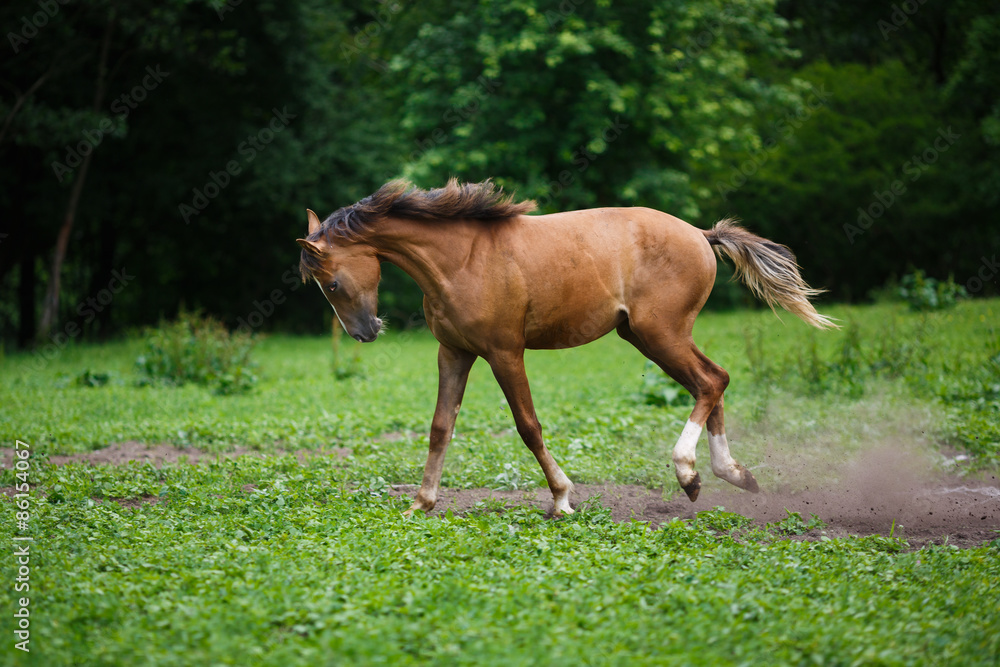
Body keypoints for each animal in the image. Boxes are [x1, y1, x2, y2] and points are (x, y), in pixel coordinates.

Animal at [297, 179, 835, 516]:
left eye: (333, 283)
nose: (365, 332)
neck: (460, 259)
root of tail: (701, 234)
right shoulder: (454, 353)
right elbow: (439, 427)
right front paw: (421, 502)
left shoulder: (505, 353)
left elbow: (528, 426)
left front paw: (562, 498)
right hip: (649, 336)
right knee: (713, 381)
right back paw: (730, 474)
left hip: (661, 334)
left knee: (710, 381)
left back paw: (689, 473)